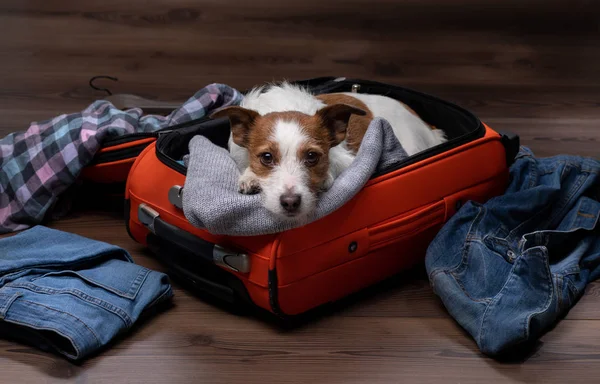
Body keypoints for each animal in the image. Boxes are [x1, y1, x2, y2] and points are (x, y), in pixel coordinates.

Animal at [209, 83, 448, 224]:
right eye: (266, 158)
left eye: (312, 157)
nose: (290, 202)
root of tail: (429, 128)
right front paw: (250, 176)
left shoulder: (348, 159)